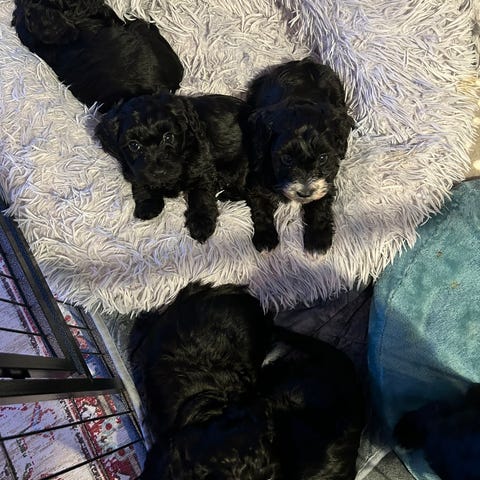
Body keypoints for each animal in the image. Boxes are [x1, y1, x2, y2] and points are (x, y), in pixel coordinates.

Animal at [95, 92, 251, 242]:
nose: (159, 172)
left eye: (169, 137)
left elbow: (201, 195)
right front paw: (148, 204)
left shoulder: (203, 167)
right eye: (134, 145)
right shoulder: (134, 170)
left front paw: (201, 223)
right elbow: (141, 181)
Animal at [245, 57, 354, 253]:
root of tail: (305, 62)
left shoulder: (327, 179)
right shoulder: (258, 173)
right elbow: (260, 204)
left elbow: (321, 204)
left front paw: (318, 240)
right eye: (286, 159)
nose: (304, 193)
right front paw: (265, 239)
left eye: (322, 158)